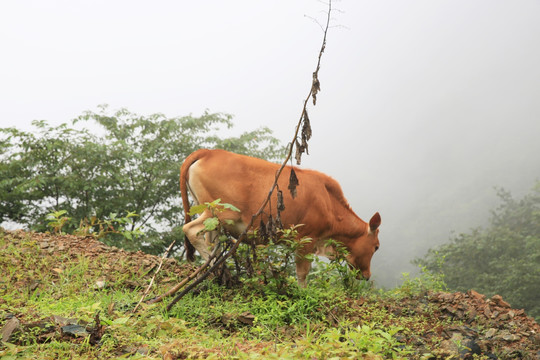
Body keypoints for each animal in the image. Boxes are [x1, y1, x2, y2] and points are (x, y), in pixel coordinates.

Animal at [180, 148, 380, 286]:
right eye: (376, 247)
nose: (367, 275)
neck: (329, 203)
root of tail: (208, 151)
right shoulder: (306, 239)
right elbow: (302, 273)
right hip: (222, 211)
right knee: (190, 230)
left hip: (213, 218)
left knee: (210, 242)